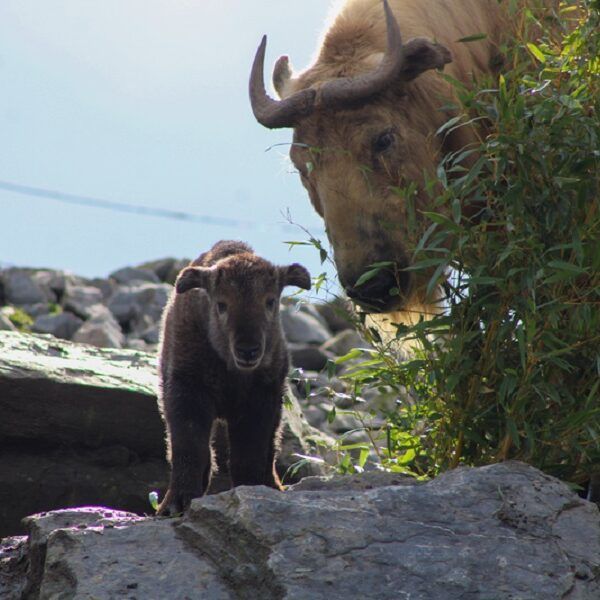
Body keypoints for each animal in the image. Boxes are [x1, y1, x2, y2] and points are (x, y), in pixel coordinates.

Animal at [157, 241, 312, 512]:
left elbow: (249, 454)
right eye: (221, 304)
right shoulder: (186, 392)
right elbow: (189, 448)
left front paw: (252, 491)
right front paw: (177, 502)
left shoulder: (261, 400)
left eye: (270, 301)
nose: (248, 350)